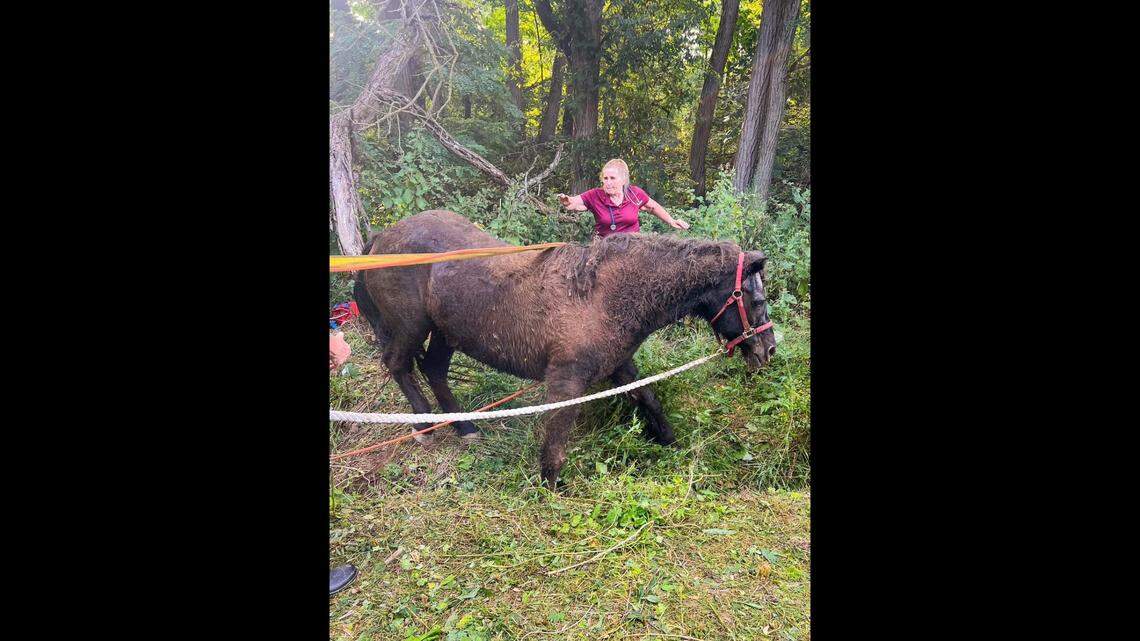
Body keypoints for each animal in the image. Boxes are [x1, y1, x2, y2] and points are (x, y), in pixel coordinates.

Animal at [353, 209, 776, 490]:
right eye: (756, 300)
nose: (768, 352)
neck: (605, 293)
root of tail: (381, 238)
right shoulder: (566, 379)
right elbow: (557, 434)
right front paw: (551, 484)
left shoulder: (619, 365)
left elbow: (649, 399)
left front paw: (670, 442)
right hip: (411, 326)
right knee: (398, 364)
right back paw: (424, 426)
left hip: (445, 332)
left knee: (435, 371)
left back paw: (466, 427)